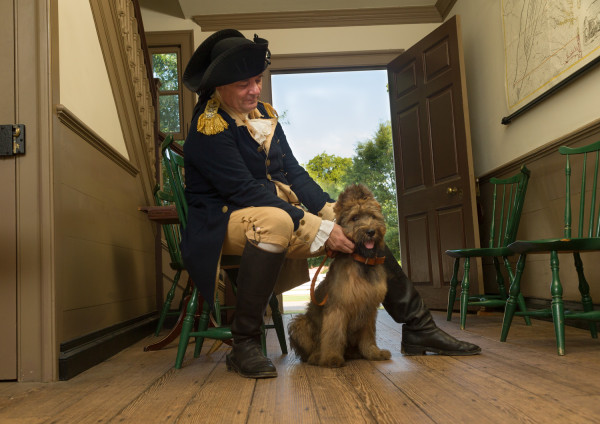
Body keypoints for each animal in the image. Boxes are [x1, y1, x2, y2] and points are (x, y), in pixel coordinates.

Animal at [288, 185, 392, 368]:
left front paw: (373, 353)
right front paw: (331, 358)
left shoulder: (369, 308)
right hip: (299, 323)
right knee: (308, 352)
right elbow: (333, 335)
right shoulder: (338, 307)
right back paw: (317, 356)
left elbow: (369, 335)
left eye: (372, 216)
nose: (371, 232)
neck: (361, 260)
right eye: (354, 218)